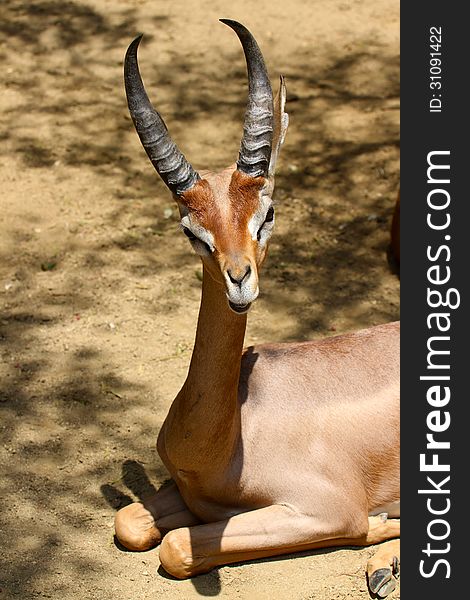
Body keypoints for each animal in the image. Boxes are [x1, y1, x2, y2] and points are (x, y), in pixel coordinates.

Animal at [114, 21, 400, 596]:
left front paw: (379, 523)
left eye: (268, 213)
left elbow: (175, 548)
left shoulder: (324, 511)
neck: (227, 443)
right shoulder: (188, 495)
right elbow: (129, 522)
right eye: (191, 229)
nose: (240, 280)